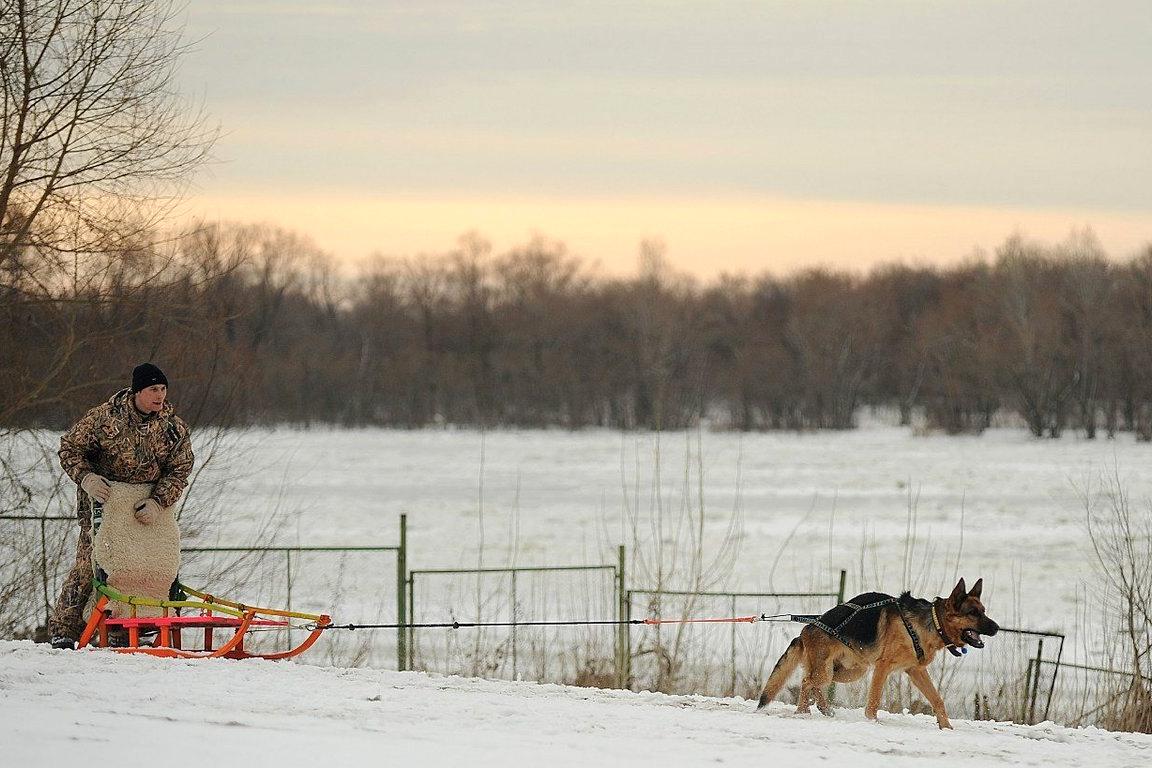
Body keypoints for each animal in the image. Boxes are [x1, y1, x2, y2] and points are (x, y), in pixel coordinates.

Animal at [755, 580, 999, 732]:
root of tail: (806, 629)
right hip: (829, 671)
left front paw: (946, 727)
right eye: (973, 613)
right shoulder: (883, 668)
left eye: (984, 611)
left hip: (851, 671)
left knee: (812, 685)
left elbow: (937, 699)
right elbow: (873, 702)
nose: (997, 628)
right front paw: (872, 722)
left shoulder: (916, 670)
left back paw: (816, 711)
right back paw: (808, 711)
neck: (932, 622)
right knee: (807, 682)